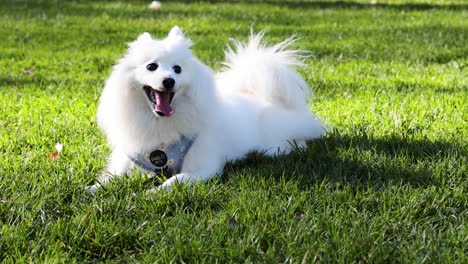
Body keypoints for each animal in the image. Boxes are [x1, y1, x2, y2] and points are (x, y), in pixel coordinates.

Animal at [88, 25, 328, 193]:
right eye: (151, 66)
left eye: (177, 69)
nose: (168, 81)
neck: (160, 123)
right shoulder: (131, 158)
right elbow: (111, 176)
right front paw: (92, 189)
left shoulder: (204, 167)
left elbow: (175, 179)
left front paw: (153, 192)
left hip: (277, 139)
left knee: (298, 141)